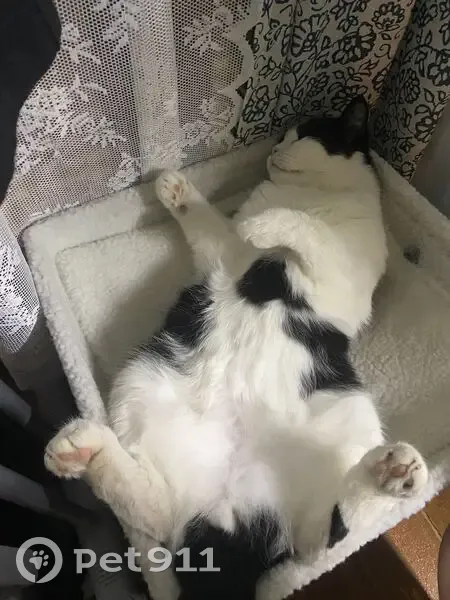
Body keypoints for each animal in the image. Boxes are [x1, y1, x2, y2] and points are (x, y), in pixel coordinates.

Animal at [44, 96, 428, 600]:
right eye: (285, 134)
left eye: (303, 132)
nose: (274, 147)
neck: (313, 194)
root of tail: (228, 513)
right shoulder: (223, 254)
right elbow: (212, 224)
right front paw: (177, 189)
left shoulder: (342, 271)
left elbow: (310, 232)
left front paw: (265, 224)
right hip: (142, 382)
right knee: (161, 514)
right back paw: (82, 451)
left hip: (352, 414)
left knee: (322, 541)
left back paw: (394, 474)